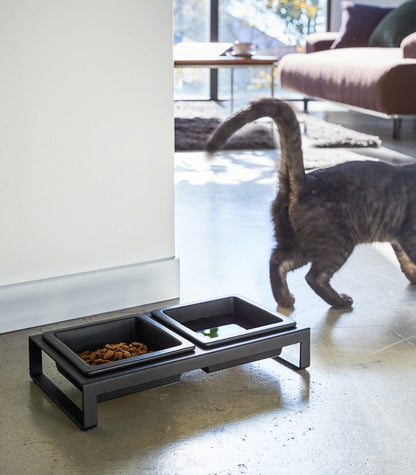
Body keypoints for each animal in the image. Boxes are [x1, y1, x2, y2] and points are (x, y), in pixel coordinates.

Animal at [207, 99, 416, 310]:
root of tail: (305, 183)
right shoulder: (408, 235)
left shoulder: (399, 238)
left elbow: (405, 260)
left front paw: (413, 277)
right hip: (336, 243)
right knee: (314, 277)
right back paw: (340, 301)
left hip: (298, 243)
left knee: (277, 261)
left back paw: (284, 298)